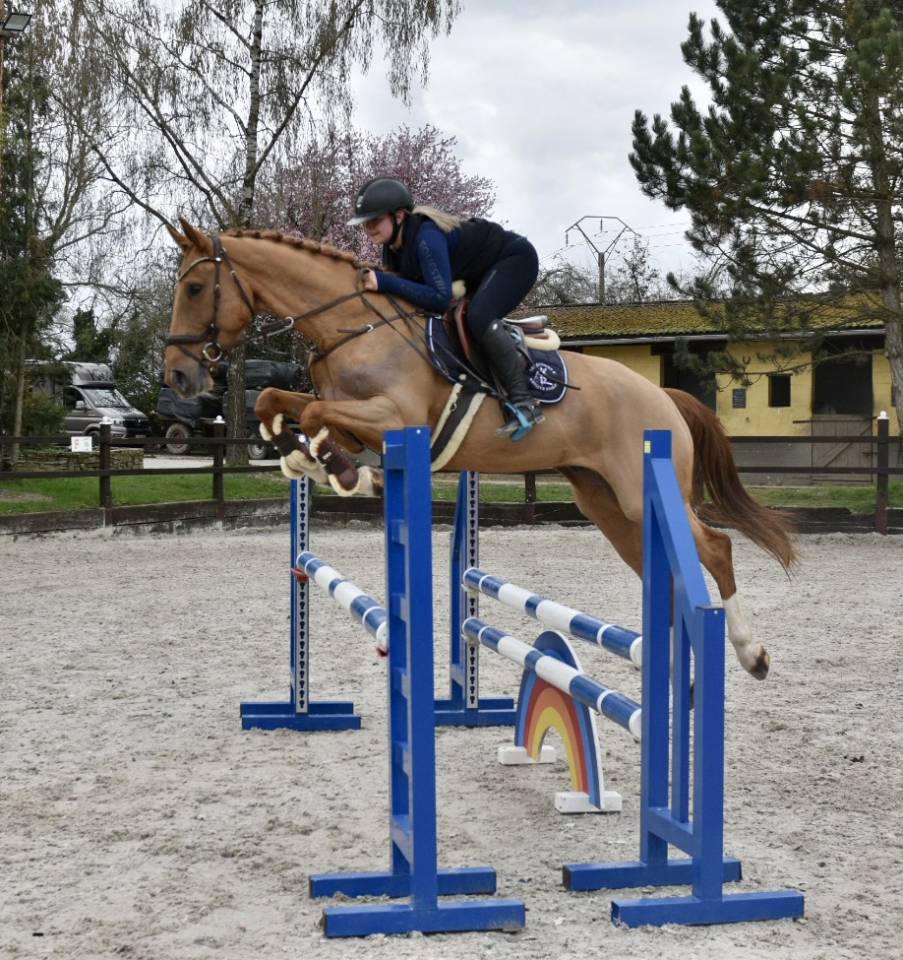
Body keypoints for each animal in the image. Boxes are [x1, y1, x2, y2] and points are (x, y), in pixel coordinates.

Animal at [163, 218, 796, 680]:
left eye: (194, 288)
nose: (177, 377)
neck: (353, 327)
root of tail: (663, 395)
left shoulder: (393, 417)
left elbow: (316, 415)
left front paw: (341, 472)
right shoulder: (356, 417)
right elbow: (278, 399)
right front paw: (303, 457)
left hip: (641, 493)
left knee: (714, 547)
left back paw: (750, 653)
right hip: (605, 503)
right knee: (659, 567)